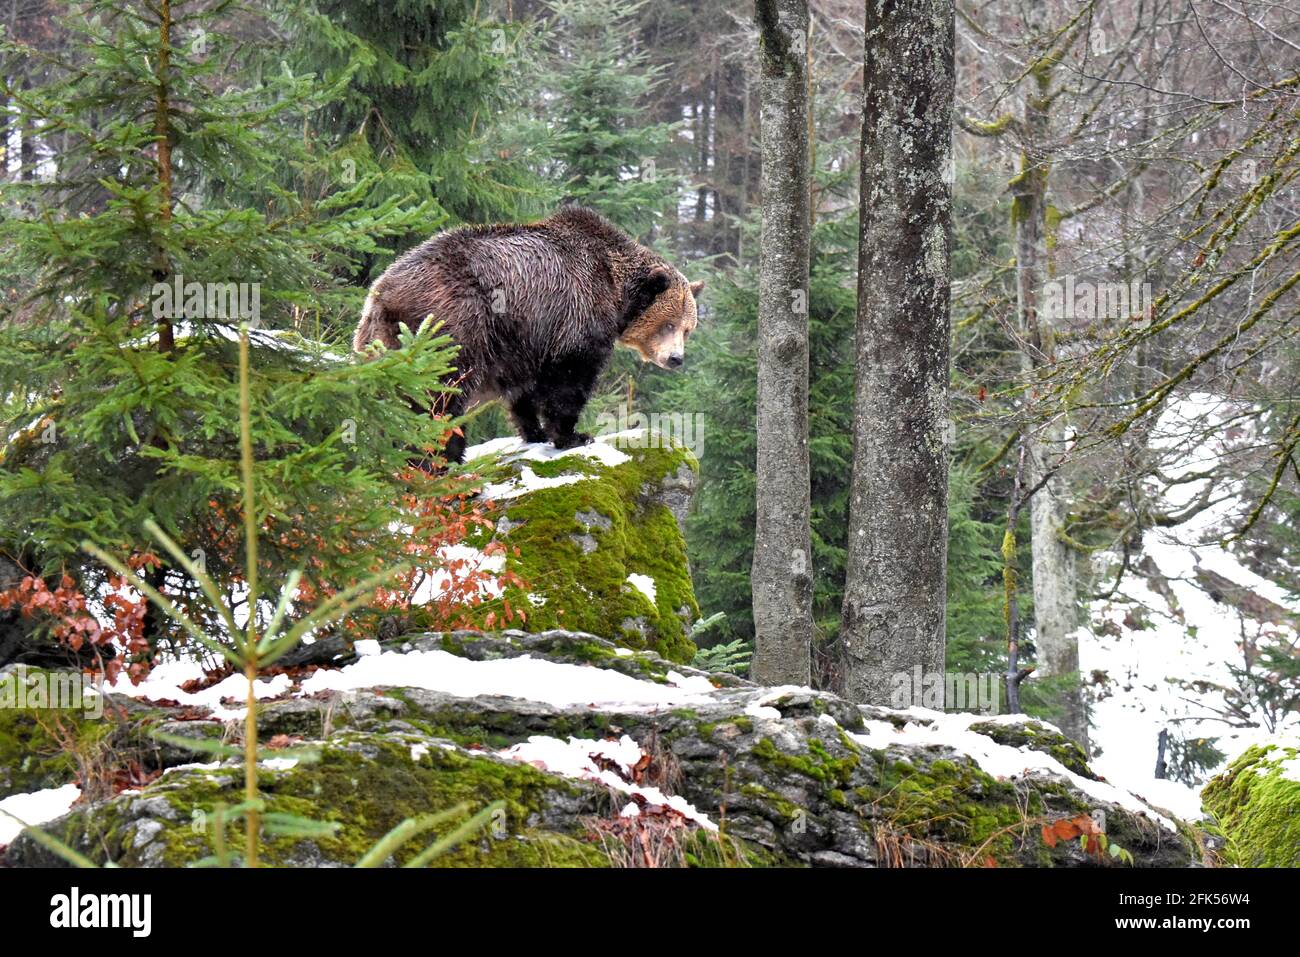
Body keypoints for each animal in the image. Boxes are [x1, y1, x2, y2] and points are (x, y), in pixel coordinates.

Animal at [353, 205, 702, 462]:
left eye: (688, 329)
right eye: (668, 324)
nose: (676, 359)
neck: (617, 292)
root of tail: (384, 295)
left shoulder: (525, 339)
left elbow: (524, 390)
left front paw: (535, 432)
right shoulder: (575, 313)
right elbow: (570, 379)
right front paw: (574, 435)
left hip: (378, 345)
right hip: (452, 327)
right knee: (441, 398)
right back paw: (444, 460)